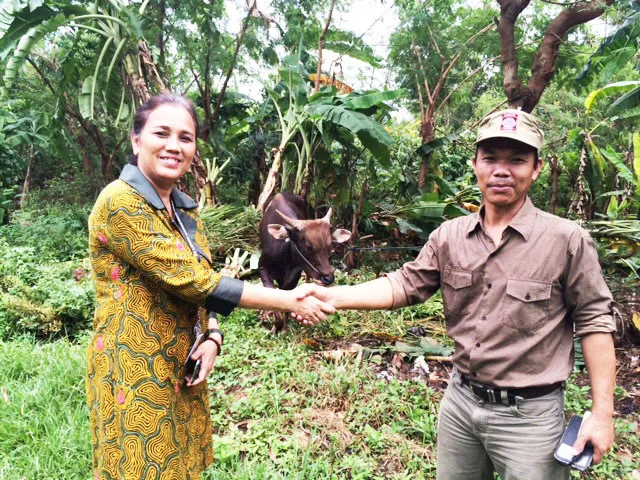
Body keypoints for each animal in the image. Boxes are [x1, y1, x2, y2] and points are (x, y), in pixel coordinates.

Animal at [258, 193, 352, 332]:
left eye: (330, 246)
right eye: (308, 247)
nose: (328, 278)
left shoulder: (294, 276)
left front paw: (283, 329)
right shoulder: (263, 268)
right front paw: (275, 328)